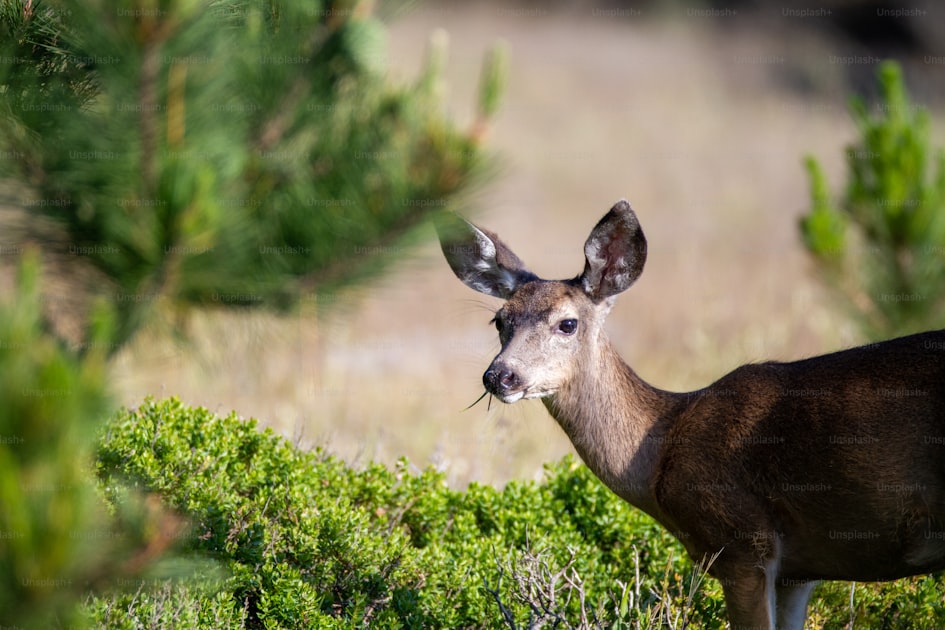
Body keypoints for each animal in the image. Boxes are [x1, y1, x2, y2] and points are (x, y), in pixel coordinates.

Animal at [435, 199, 945, 630]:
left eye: (568, 323)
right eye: (499, 321)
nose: (500, 376)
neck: (661, 446)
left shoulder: (743, 542)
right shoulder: (799, 570)